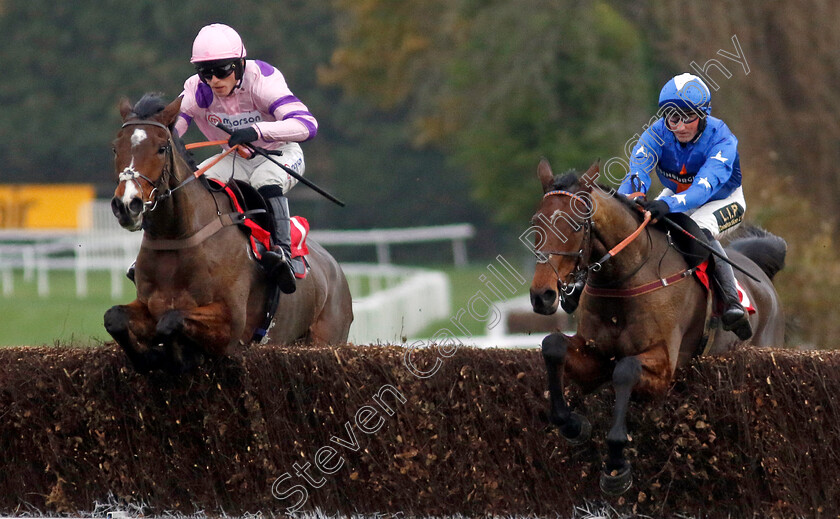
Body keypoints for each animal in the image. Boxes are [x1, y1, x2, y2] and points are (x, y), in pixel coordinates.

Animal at [103, 94, 352, 374]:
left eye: (161, 148)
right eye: (116, 148)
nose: (127, 204)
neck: (178, 240)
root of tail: (336, 269)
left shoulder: (231, 324)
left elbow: (171, 321)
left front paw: (180, 356)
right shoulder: (147, 305)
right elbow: (114, 317)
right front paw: (149, 357)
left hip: (327, 337)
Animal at [528, 157, 784, 496]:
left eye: (575, 224)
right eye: (536, 222)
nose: (542, 295)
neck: (625, 278)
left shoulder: (663, 365)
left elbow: (625, 370)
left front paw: (616, 465)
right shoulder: (596, 355)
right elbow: (553, 346)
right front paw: (572, 424)